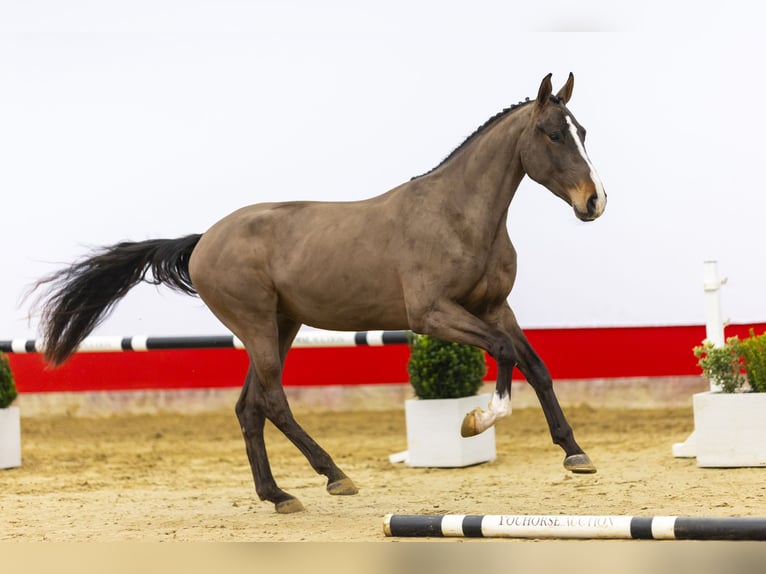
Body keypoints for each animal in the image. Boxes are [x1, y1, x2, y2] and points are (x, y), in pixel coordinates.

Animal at [30, 73, 608, 516]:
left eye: (581, 131)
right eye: (552, 134)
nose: (595, 202)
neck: (457, 216)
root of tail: (203, 240)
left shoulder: (495, 307)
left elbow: (536, 366)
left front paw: (575, 452)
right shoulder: (433, 315)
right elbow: (506, 354)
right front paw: (476, 421)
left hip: (281, 325)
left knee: (248, 407)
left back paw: (278, 495)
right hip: (258, 327)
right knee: (272, 401)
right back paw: (333, 475)